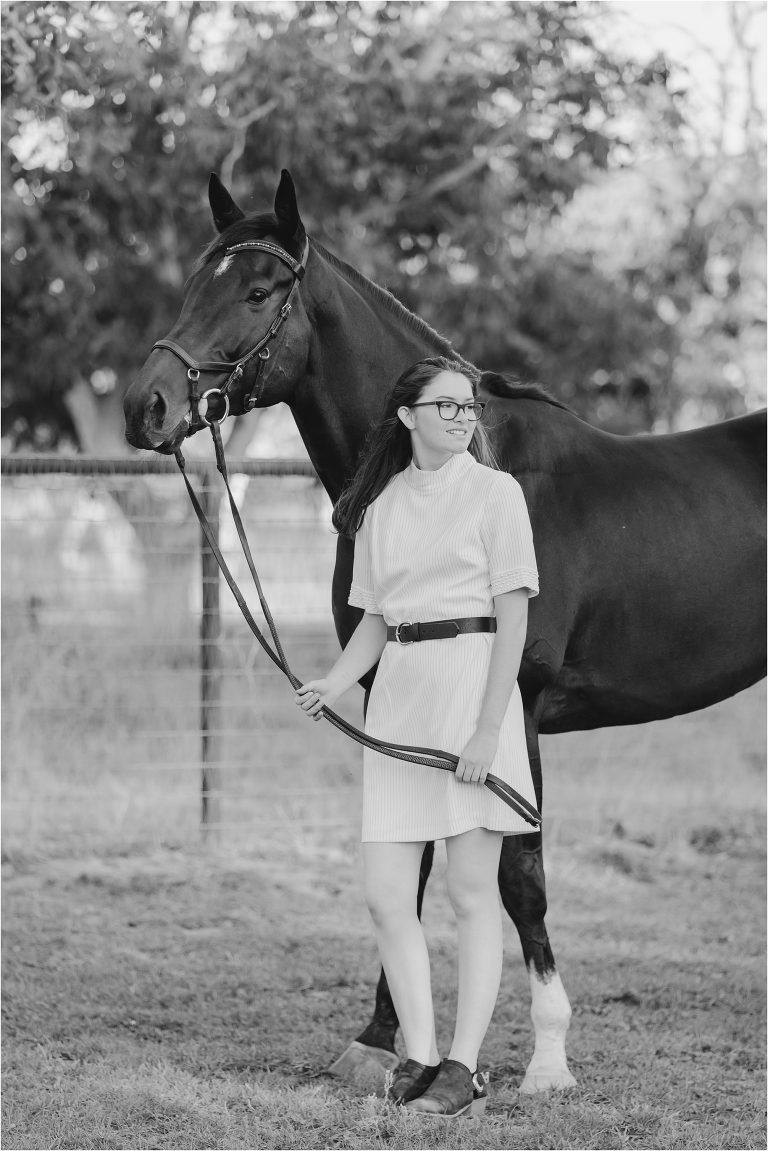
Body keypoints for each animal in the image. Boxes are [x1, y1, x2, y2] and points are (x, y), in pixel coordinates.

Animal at [124, 170, 766, 1093]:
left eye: (256, 291)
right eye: (189, 286)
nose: (148, 406)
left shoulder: (513, 712)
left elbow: (520, 874)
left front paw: (548, 1056)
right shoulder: (391, 697)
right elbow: (413, 854)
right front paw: (381, 1035)